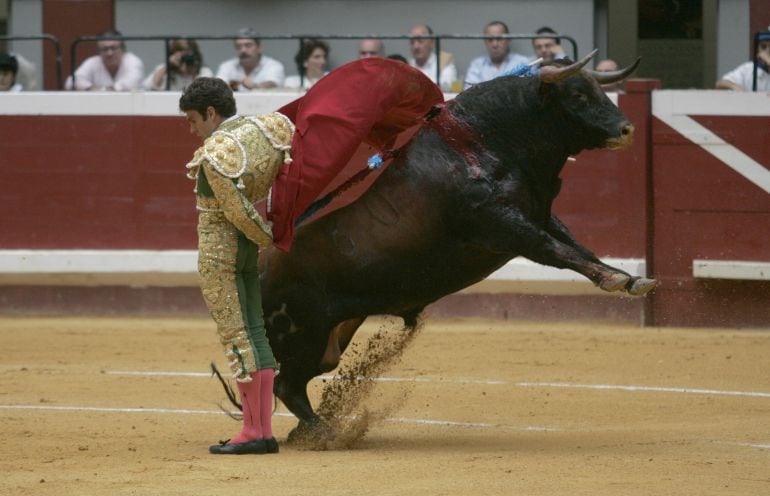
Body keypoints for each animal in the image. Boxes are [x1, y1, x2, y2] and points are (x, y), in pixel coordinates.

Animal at [255, 50, 652, 438]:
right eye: (578, 94)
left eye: (599, 90)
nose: (626, 129)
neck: (486, 141)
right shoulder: (501, 224)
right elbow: (553, 250)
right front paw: (613, 279)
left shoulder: (537, 214)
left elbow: (577, 245)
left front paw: (632, 278)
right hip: (301, 331)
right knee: (285, 385)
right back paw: (322, 433)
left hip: (329, 336)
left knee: (295, 380)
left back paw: (309, 431)